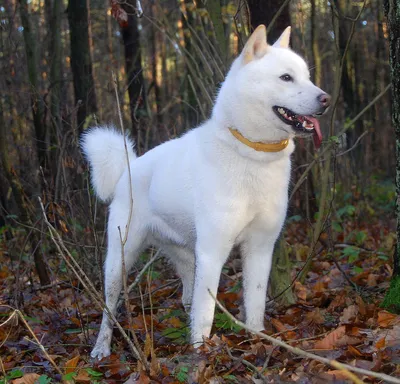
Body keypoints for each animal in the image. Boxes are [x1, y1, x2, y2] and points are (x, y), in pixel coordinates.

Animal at [83, 25, 330, 358]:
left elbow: (254, 303)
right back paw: (101, 347)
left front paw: (258, 341)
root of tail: (128, 169)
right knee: (110, 308)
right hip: (120, 258)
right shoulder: (213, 252)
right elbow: (205, 313)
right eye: (286, 77)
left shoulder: (260, 248)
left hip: (187, 255)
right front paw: (202, 354)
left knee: (188, 296)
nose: (326, 98)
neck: (251, 154)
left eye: (307, 76)